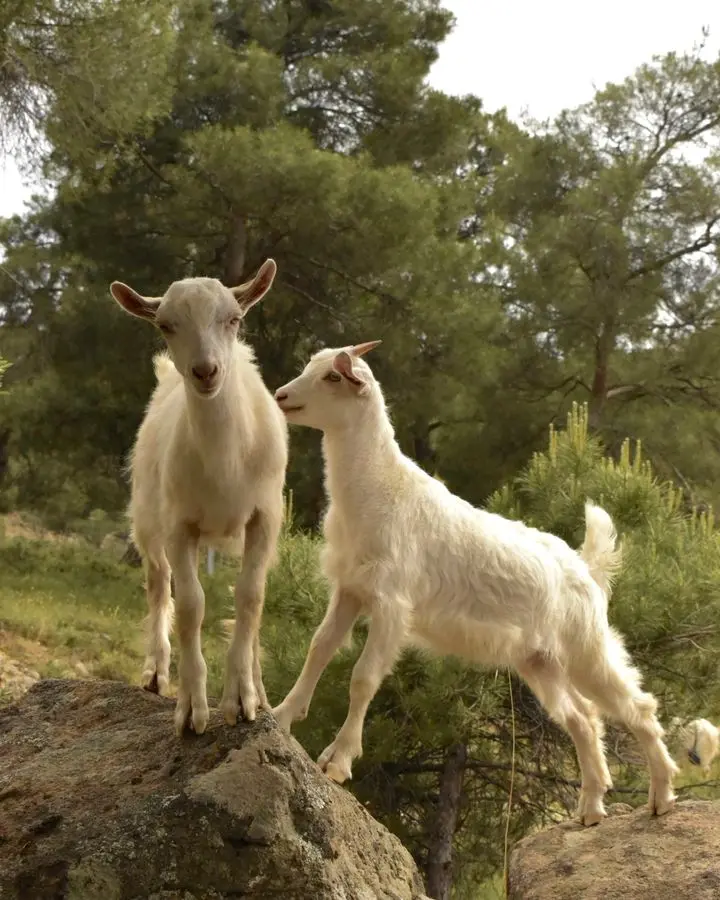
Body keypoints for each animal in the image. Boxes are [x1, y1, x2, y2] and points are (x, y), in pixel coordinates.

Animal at [109, 260, 287, 736]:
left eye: (234, 319)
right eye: (165, 325)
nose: (205, 372)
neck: (224, 462)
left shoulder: (265, 517)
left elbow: (250, 597)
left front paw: (243, 698)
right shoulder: (179, 525)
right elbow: (190, 605)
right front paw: (192, 708)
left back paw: (261, 691)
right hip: (146, 517)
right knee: (157, 583)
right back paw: (155, 672)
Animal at [271, 342, 677, 826]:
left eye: (333, 378)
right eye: (312, 367)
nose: (281, 395)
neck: (381, 490)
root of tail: (586, 568)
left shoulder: (392, 604)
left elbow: (363, 678)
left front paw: (338, 760)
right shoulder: (350, 590)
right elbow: (319, 649)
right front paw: (279, 715)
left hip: (587, 649)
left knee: (638, 708)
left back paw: (660, 798)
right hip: (540, 662)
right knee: (584, 717)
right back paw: (592, 808)